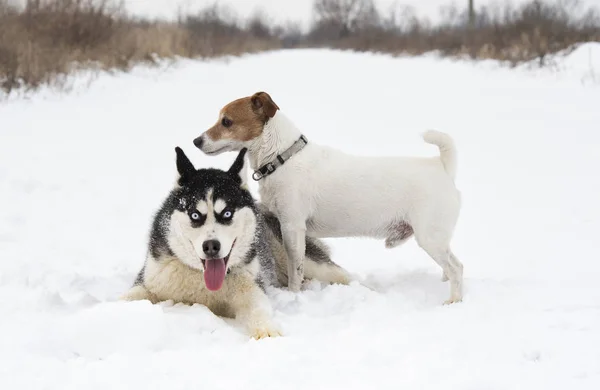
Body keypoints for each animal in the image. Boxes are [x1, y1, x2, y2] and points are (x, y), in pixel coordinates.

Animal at [119, 146, 350, 338]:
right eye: (195, 215)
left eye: (227, 213)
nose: (211, 246)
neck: (201, 281)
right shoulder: (150, 280)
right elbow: (128, 297)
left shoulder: (252, 288)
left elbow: (257, 308)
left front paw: (267, 330)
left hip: (303, 259)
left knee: (341, 274)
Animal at [193, 92, 464, 304]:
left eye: (226, 121)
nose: (196, 141)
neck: (282, 157)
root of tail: (441, 166)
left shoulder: (292, 228)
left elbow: (295, 268)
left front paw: (294, 294)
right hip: (437, 238)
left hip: (429, 237)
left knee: (457, 267)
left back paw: (454, 299)